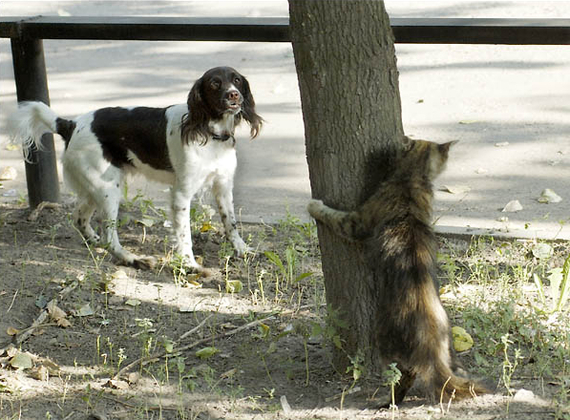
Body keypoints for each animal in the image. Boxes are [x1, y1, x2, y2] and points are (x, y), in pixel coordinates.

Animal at [9, 65, 262, 270]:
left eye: (236, 80)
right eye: (214, 83)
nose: (234, 94)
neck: (211, 133)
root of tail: (71, 124)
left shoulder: (223, 186)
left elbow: (230, 223)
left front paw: (241, 249)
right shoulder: (182, 193)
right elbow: (184, 233)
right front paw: (189, 264)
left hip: (96, 187)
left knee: (79, 218)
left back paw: (95, 242)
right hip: (108, 189)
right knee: (109, 236)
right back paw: (133, 259)